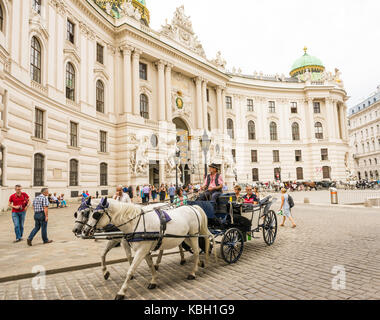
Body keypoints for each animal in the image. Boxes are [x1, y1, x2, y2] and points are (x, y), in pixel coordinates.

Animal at [82, 198, 211, 300]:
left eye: (96, 214)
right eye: (89, 213)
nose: (84, 231)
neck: (135, 223)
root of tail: (192, 207)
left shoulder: (142, 250)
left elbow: (131, 270)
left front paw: (121, 292)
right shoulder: (145, 250)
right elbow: (150, 266)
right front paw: (154, 280)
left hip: (193, 236)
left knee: (196, 252)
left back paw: (193, 272)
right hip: (185, 237)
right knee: (194, 251)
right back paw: (198, 263)